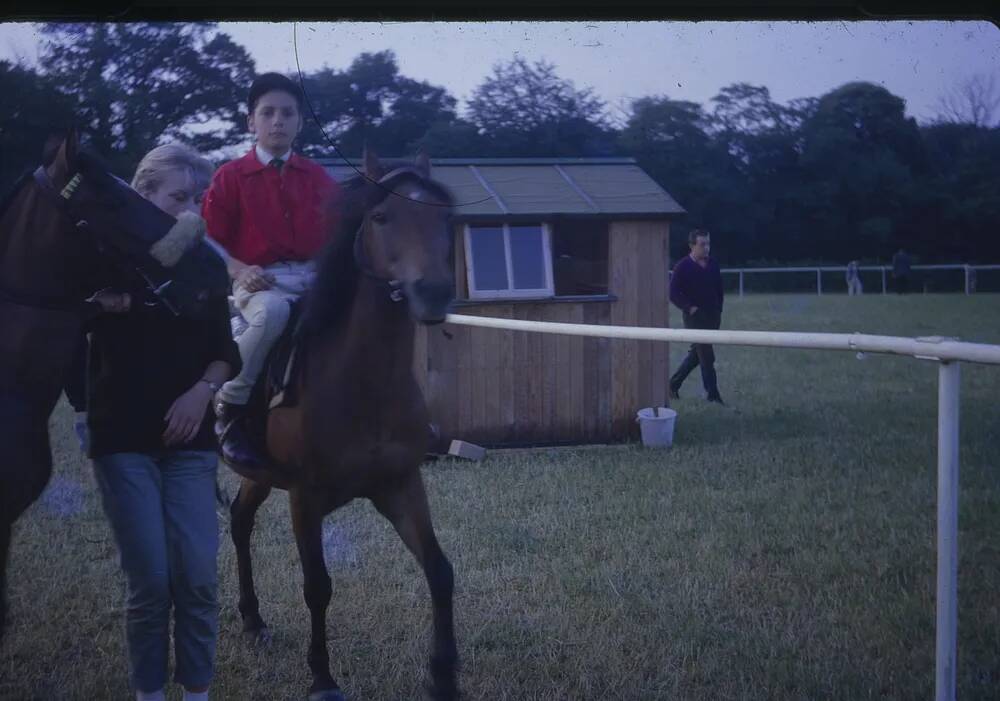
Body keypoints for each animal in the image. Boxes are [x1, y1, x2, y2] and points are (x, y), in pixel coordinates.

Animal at [225, 152, 458, 700]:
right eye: (381, 217)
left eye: (446, 220)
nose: (433, 293)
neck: (364, 382)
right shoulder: (304, 497)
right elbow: (317, 586)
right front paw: (322, 678)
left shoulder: (400, 485)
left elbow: (439, 571)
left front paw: (444, 676)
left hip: (258, 475)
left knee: (239, 521)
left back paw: (253, 621)